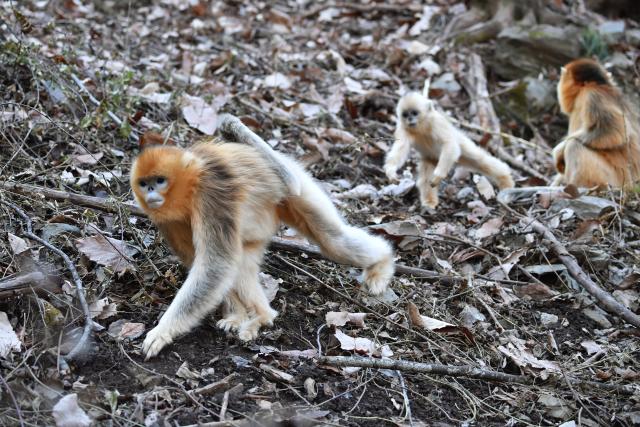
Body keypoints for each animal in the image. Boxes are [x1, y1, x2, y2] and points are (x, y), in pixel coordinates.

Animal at [130, 129, 395, 359]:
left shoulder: (213, 195)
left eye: (160, 180)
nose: (150, 192)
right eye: (144, 183)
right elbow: (206, 262)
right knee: (243, 265)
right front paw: (236, 315)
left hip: (297, 186)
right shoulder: (167, 219)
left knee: (334, 240)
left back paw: (382, 264)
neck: (193, 182)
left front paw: (163, 331)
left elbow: (216, 265)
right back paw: (258, 316)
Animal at [384, 90, 514, 209]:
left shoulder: (437, 123)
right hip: (431, 158)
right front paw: (390, 171)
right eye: (405, 115)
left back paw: (506, 182)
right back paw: (429, 202)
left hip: (460, 145)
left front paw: (439, 175)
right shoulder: (403, 129)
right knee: (426, 177)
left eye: (414, 113)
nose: (410, 119)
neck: (422, 128)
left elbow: (449, 143)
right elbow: (400, 149)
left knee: (480, 160)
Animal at [551, 58, 640, 188]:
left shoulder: (592, 96)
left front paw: (559, 150)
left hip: (617, 179)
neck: (596, 84)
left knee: (574, 145)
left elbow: (614, 131)